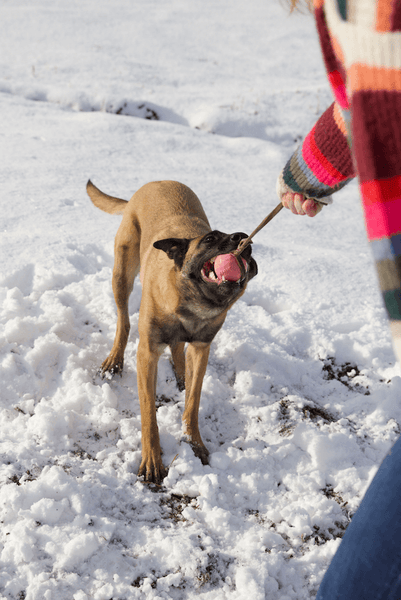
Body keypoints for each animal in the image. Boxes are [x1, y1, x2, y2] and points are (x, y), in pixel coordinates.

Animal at [86, 179, 258, 482]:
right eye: (210, 239)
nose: (244, 238)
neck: (192, 305)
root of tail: (156, 182)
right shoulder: (147, 354)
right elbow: (149, 414)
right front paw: (152, 461)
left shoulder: (201, 348)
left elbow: (193, 401)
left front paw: (194, 442)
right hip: (122, 273)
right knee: (123, 320)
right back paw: (114, 360)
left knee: (177, 346)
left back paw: (180, 371)